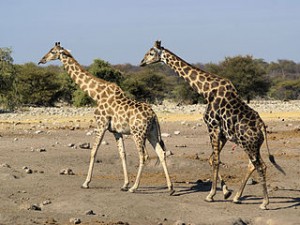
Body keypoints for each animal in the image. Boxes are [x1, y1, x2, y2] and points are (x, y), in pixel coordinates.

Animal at [38, 41, 173, 193]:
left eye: (52, 51)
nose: (41, 60)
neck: (96, 94)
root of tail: (154, 116)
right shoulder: (116, 131)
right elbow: (122, 154)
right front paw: (124, 184)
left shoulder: (101, 124)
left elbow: (93, 151)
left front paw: (86, 182)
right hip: (151, 133)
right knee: (161, 153)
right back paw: (170, 187)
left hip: (138, 133)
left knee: (144, 156)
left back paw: (135, 187)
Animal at [139, 40, 284, 209]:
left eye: (151, 53)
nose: (142, 62)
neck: (206, 91)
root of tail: (262, 127)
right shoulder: (223, 134)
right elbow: (212, 159)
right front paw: (226, 192)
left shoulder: (212, 126)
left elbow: (215, 160)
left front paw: (211, 195)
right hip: (254, 145)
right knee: (255, 165)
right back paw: (237, 197)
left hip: (248, 145)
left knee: (260, 166)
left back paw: (264, 203)